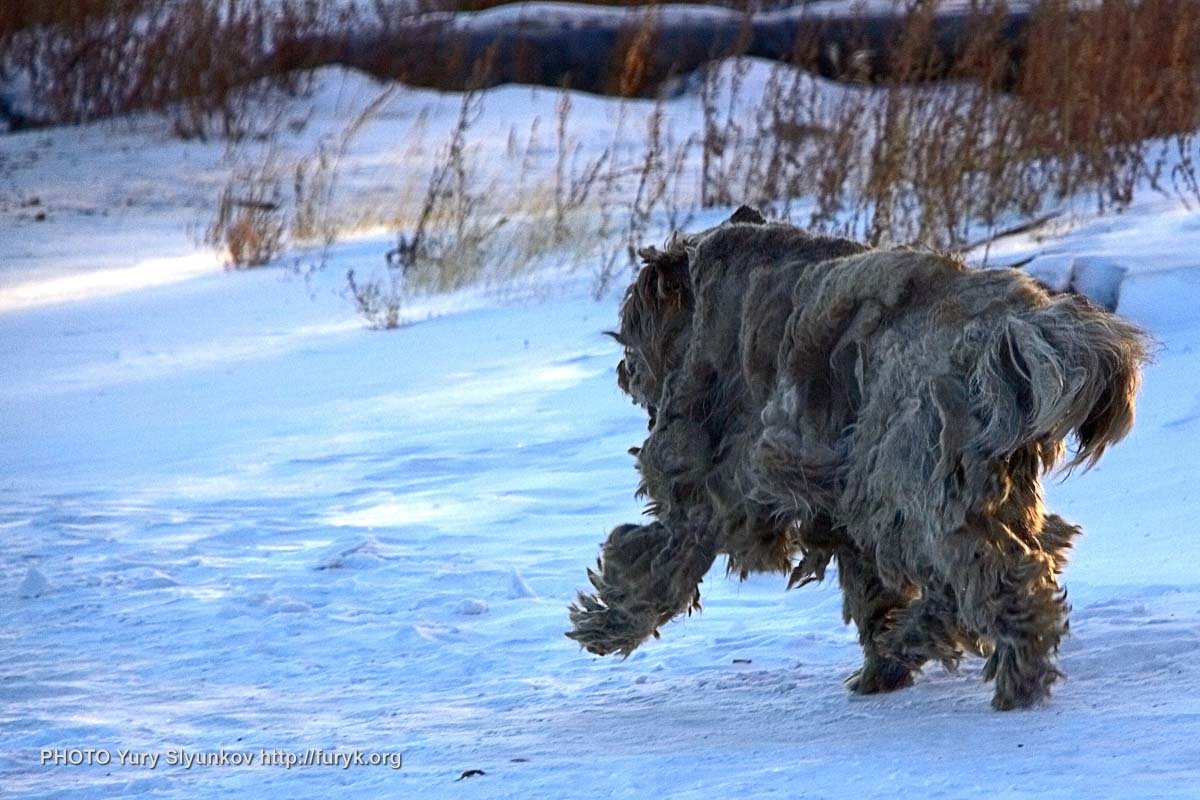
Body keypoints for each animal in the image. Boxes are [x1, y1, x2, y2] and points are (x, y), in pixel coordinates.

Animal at [571, 209, 1152, 710]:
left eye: (631, 329)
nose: (624, 370)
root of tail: (1018, 324)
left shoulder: (717, 481)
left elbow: (656, 557)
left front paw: (604, 623)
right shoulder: (838, 502)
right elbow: (869, 587)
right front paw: (882, 664)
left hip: (914, 482)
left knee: (996, 574)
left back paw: (1010, 680)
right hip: (963, 484)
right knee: (1013, 560)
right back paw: (911, 645)